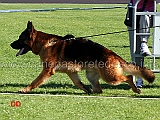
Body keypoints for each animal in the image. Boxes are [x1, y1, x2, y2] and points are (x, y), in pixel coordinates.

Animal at [10, 21, 155, 94]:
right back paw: (93, 91)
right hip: (91, 76)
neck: (45, 44)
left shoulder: (47, 71)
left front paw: (25, 90)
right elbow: (78, 83)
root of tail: (112, 54)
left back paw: (136, 89)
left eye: (20, 39)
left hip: (110, 77)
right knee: (99, 89)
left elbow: (34, 82)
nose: (10, 44)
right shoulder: (71, 72)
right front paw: (86, 89)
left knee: (129, 77)